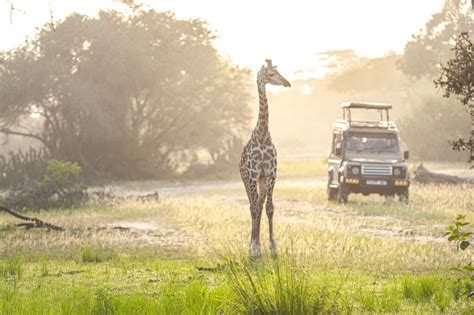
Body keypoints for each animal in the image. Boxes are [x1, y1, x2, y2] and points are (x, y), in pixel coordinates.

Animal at [239, 59, 290, 260]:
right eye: (269, 74)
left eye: (276, 71)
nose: (287, 83)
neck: (262, 135)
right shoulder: (253, 174)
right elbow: (254, 208)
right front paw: (254, 249)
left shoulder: (270, 173)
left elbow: (269, 208)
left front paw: (273, 248)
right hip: (247, 180)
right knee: (252, 206)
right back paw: (253, 245)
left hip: (261, 181)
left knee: (259, 205)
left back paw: (258, 243)